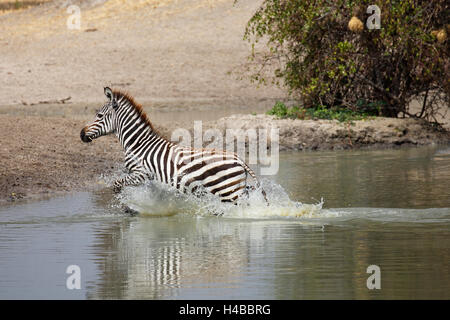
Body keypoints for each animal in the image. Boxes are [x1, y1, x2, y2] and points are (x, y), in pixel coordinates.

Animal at [80, 87, 268, 204]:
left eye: (99, 115)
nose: (81, 134)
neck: (138, 144)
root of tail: (240, 160)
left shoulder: (141, 174)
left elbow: (117, 184)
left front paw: (125, 205)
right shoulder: (148, 179)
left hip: (229, 193)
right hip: (236, 188)